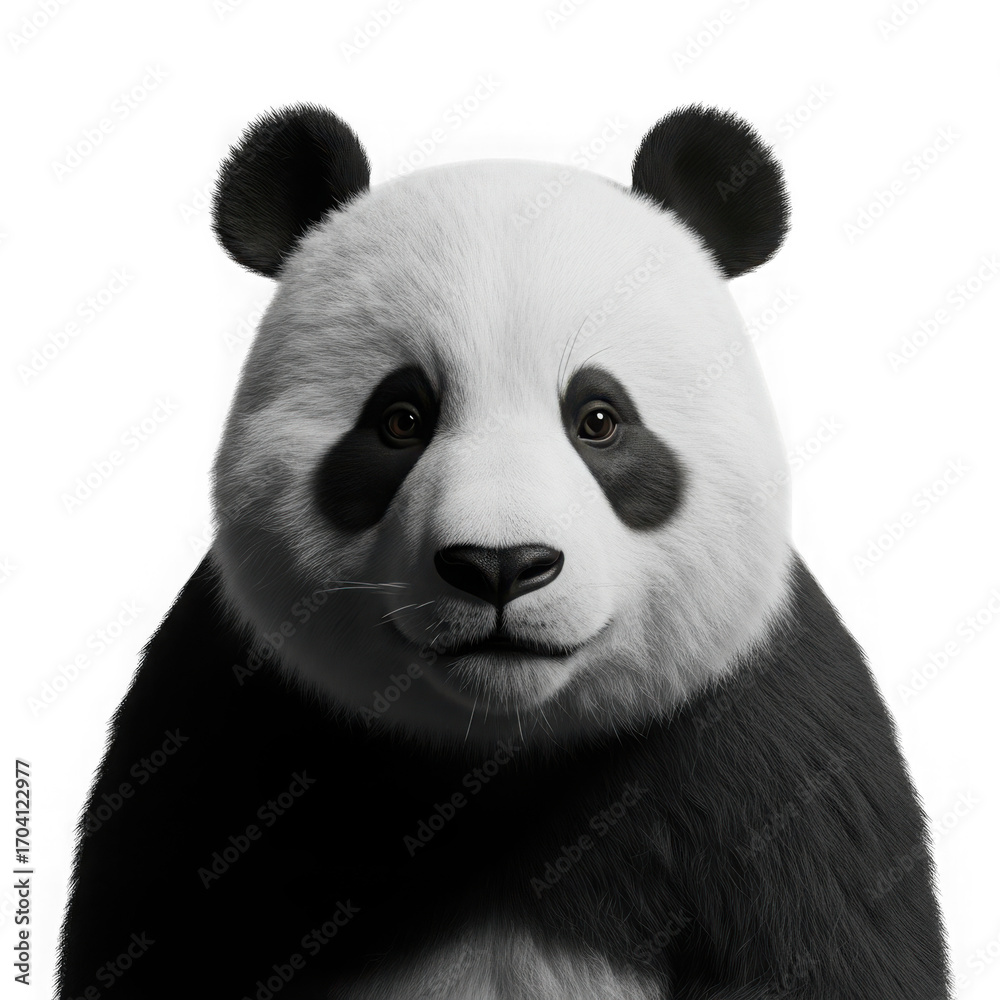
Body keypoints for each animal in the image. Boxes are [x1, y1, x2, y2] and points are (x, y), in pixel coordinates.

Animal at [58, 104, 951, 1000]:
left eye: (599, 419)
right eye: (400, 420)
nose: (500, 566)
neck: (502, 749)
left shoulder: (770, 753)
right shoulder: (220, 726)